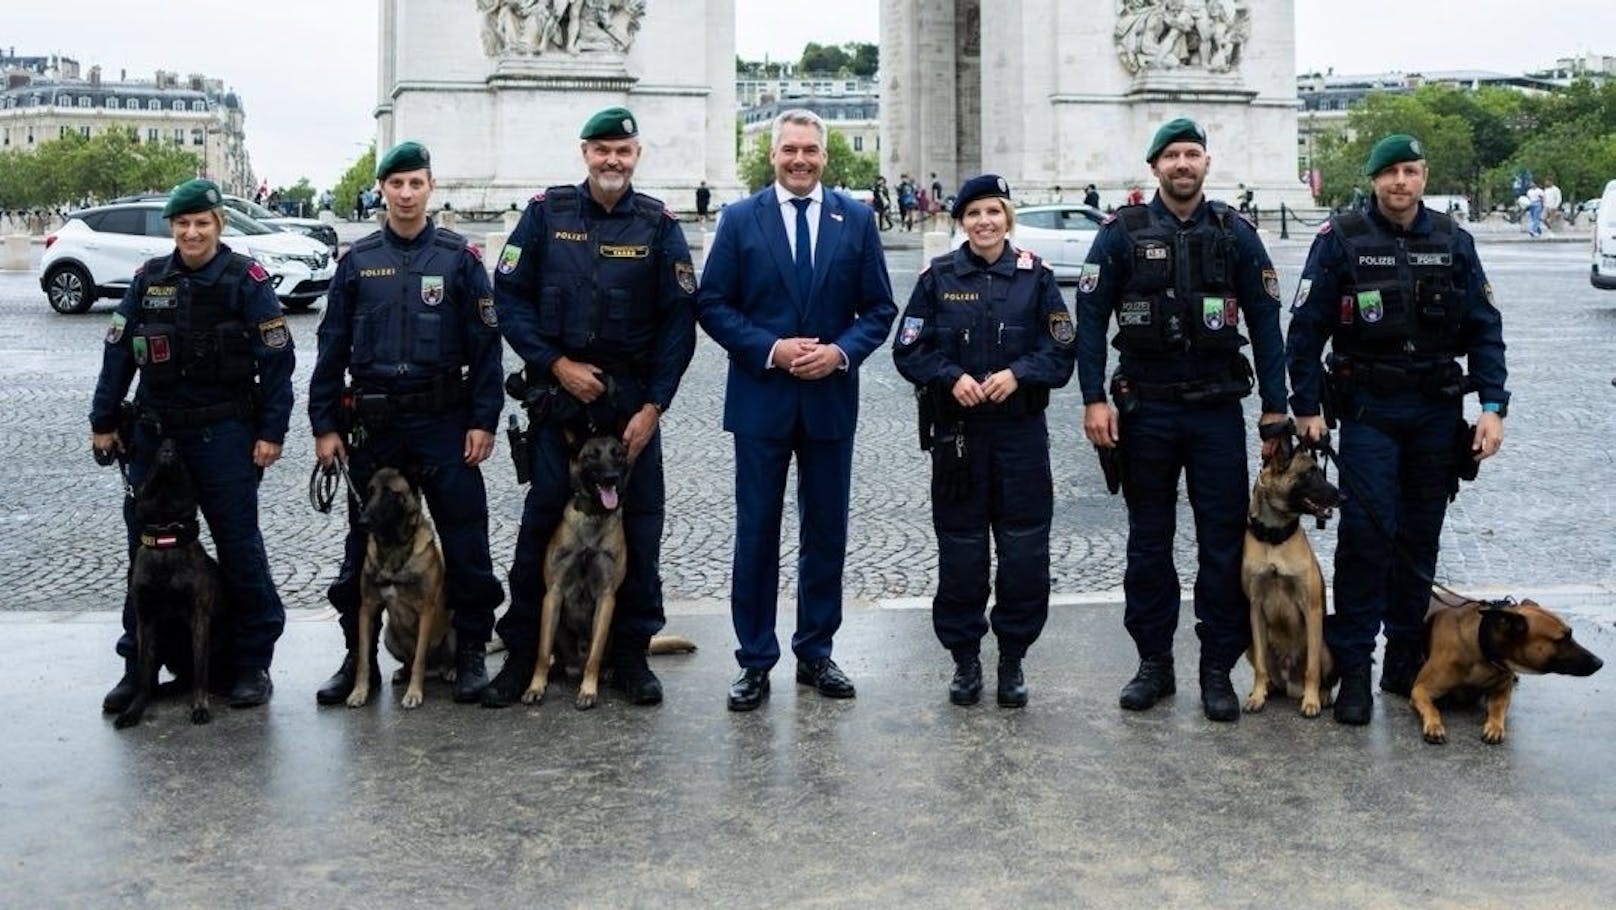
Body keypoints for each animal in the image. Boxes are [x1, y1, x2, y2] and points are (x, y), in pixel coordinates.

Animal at [113, 436, 226, 730]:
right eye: (151, 463)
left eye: (184, 464)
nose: (168, 442)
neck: (166, 535)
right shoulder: (146, 620)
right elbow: (143, 673)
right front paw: (135, 709)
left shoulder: (199, 617)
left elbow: (200, 670)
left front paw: (200, 706)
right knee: (175, 677)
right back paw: (165, 688)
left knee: (201, 673)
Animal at [344, 465, 452, 707]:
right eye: (370, 491)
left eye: (390, 493)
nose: (362, 521)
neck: (393, 547)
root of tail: (434, 670)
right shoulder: (367, 609)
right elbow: (363, 658)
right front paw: (359, 691)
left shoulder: (426, 611)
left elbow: (420, 658)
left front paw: (413, 693)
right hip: (389, 636)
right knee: (408, 663)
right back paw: (402, 672)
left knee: (432, 661)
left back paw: (451, 670)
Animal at [1241, 423, 1344, 720]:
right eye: (1308, 474)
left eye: (1318, 471)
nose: (1343, 496)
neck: (1274, 538)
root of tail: (1290, 682)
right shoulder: (1255, 607)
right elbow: (1261, 667)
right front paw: (1257, 696)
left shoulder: (1311, 609)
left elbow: (1312, 669)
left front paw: (1311, 702)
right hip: (1251, 644)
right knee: (1268, 672)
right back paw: (1267, 689)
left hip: (1325, 647)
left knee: (1322, 676)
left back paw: (1322, 696)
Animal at [1415, 598, 1603, 746]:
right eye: (1562, 639)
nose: (1600, 662)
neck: (1483, 647)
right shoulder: (1420, 690)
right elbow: (1431, 707)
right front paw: (1434, 726)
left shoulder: (1502, 690)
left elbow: (1498, 706)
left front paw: (1495, 727)